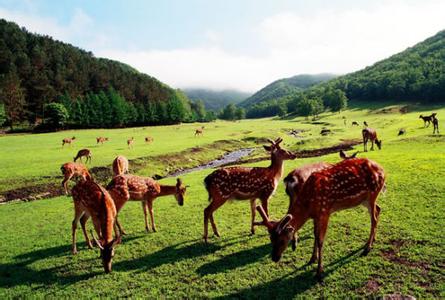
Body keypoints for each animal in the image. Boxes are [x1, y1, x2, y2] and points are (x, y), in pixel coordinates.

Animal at [256, 157, 386, 282]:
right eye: (271, 239)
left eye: (282, 240)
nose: (274, 257)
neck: (308, 207)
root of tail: (383, 171)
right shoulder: (316, 216)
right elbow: (315, 234)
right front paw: (312, 258)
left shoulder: (325, 211)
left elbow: (320, 240)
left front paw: (319, 272)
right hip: (364, 200)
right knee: (378, 209)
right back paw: (373, 240)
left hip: (373, 193)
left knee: (374, 218)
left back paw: (367, 248)